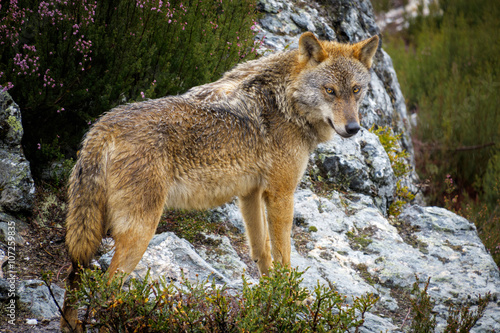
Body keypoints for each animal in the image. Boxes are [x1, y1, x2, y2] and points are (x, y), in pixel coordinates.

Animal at [60, 31, 376, 330]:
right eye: (329, 91)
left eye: (356, 90)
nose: (353, 128)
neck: (285, 101)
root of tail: (102, 128)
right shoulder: (281, 194)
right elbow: (284, 257)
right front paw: (289, 299)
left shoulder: (250, 194)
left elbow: (261, 252)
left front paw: (269, 299)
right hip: (140, 232)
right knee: (104, 291)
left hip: (92, 232)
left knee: (74, 279)